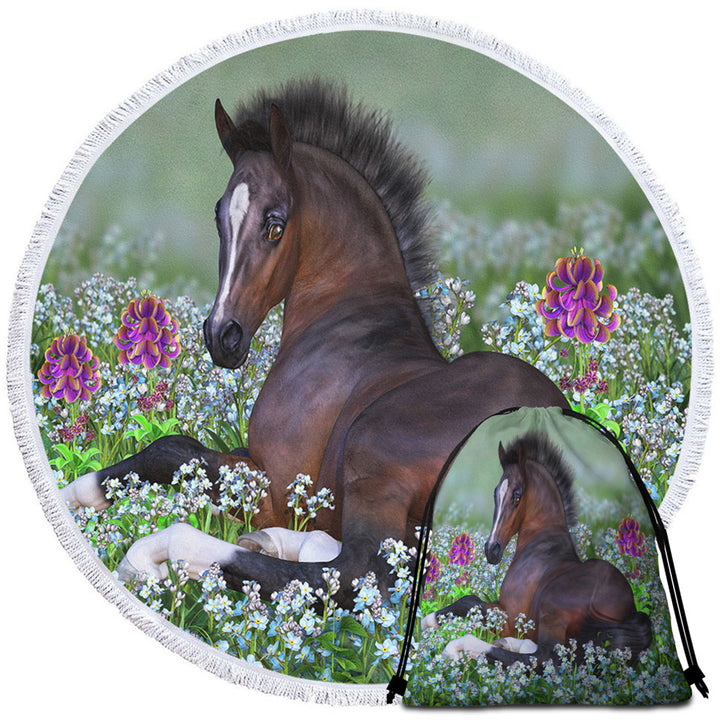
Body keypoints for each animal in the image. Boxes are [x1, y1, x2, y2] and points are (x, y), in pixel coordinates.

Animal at [59, 81, 568, 607]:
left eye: (275, 224)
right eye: (219, 216)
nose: (222, 335)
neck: (348, 325)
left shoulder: (278, 488)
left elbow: (174, 451)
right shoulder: (254, 464)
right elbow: (176, 451)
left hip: (373, 454)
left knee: (353, 574)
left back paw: (158, 553)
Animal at [423, 432, 652, 666]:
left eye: (517, 495)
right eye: (495, 493)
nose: (491, 550)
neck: (541, 547)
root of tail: (628, 610)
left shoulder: (512, 618)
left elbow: (471, 602)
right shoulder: (502, 609)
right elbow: (470, 601)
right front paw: (427, 622)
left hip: (552, 608)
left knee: (544, 659)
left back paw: (458, 647)